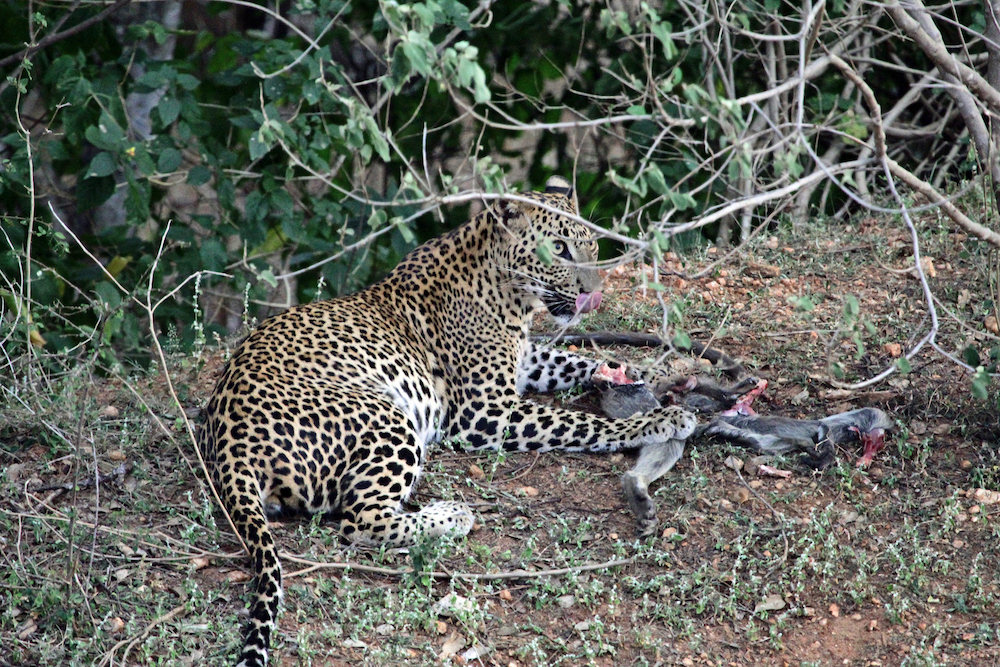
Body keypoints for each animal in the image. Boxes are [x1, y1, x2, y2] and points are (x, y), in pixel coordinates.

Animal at [199, 177, 700, 667]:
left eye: (591, 244)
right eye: (558, 248)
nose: (593, 295)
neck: (510, 294)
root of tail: (227, 443)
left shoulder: (525, 361)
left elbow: (576, 360)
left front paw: (656, 373)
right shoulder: (486, 411)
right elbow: (580, 423)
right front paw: (663, 418)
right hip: (390, 420)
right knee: (362, 522)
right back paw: (453, 514)